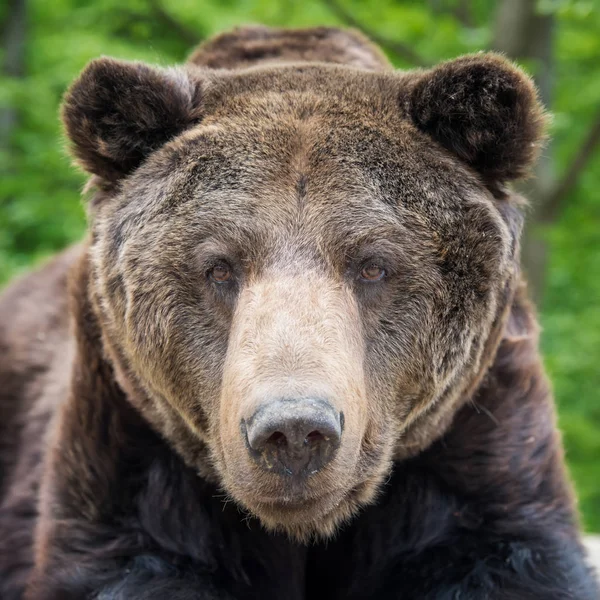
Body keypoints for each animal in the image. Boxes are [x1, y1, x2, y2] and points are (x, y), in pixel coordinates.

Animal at [0, 24, 596, 600]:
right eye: (219, 266)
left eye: (372, 265)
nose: (293, 430)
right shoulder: (126, 423)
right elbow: (133, 557)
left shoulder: (478, 424)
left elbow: (501, 553)